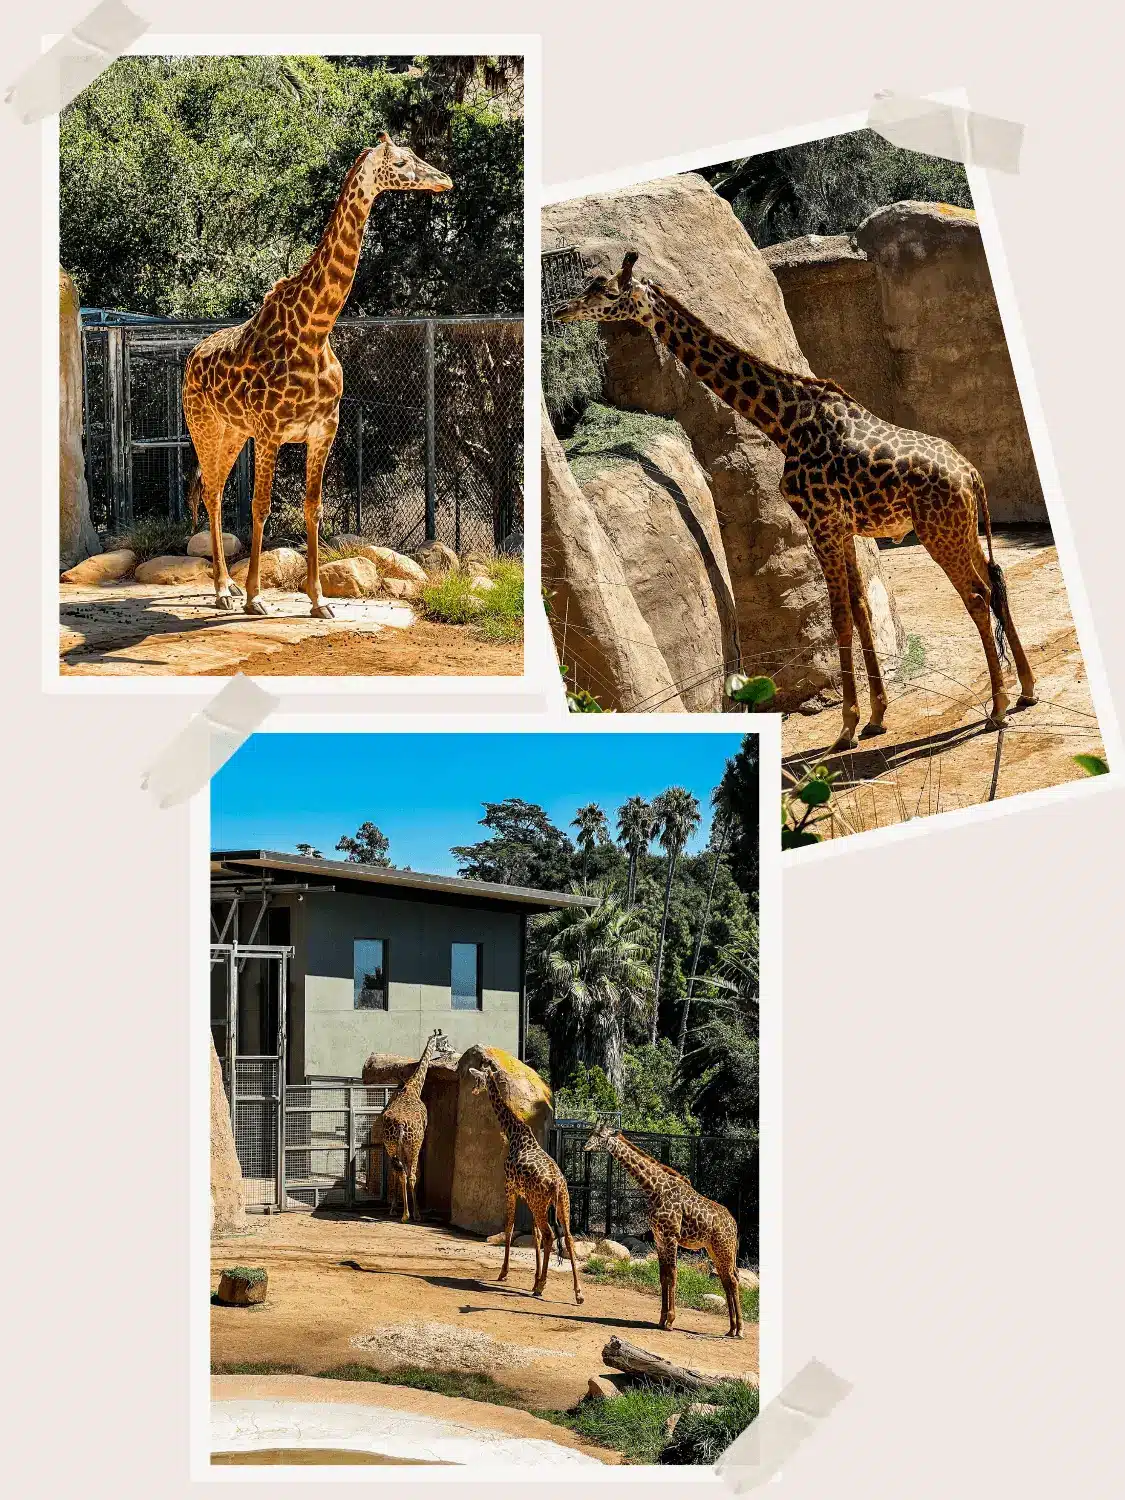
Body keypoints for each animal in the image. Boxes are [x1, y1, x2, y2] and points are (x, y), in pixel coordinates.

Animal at [180, 133, 453, 615]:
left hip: (233, 432)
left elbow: (314, 507)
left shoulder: (324, 428)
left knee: (215, 491)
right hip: (204, 426)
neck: (315, 329)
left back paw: (227, 588)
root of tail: (193, 356)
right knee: (211, 492)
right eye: (402, 162)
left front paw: (318, 599)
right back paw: (225, 591)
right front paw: (256, 596)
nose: (445, 180)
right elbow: (261, 506)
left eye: (417, 156)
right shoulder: (271, 431)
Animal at [370, 1026, 459, 1224]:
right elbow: (413, 1174)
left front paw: (394, 1208)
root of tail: (401, 1126)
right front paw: (411, 1211)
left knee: (399, 1172)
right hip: (414, 1144)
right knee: (411, 1175)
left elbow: (397, 1173)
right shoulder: (419, 1139)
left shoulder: (398, 1147)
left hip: (392, 1145)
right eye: (445, 1040)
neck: (412, 1087)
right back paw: (413, 1214)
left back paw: (400, 1212)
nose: (453, 1049)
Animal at [468, 1056, 585, 1302]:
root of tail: (557, 1183)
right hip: (561, 1203)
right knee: (568, 1238)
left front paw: (504, 1273)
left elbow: (510, 1227)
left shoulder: (510, 1187)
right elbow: (535, 1236)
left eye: (478, 1078)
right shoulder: (528, 1197)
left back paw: (542, 1286)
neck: (514, 1132)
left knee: (550, 1235)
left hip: (541, 1203)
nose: (473, 1090)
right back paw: (578, 1293)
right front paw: (533, 1280)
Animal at [555, 253, 1038, 756]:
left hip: (937, 531)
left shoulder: (818, 521)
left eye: (607, 291)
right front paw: (876, 717)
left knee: (977, 596)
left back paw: (998, 706)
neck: (783, 422)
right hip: (961, 528)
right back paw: (1026, 689)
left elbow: (839, 617)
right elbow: (861, 609)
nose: (561, 311)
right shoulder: (843, 527)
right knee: (997, 581)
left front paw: (846, 728)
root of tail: (971, 473)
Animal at [585, 1122, 744, 1344]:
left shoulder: (671, 1236)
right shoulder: (659, 1238)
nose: (586, 1146)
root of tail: (734, 1224)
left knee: (733, 1279)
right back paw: (731, 1329)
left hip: (724, 1248)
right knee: (727, 1279)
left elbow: (673, 1274)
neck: (654, 1188)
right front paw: (661, 1319)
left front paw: (670, 1321)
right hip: (715, 1249)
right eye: (591, 1133)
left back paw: (740, 1330)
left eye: (600, 1136)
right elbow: (663, 1276)